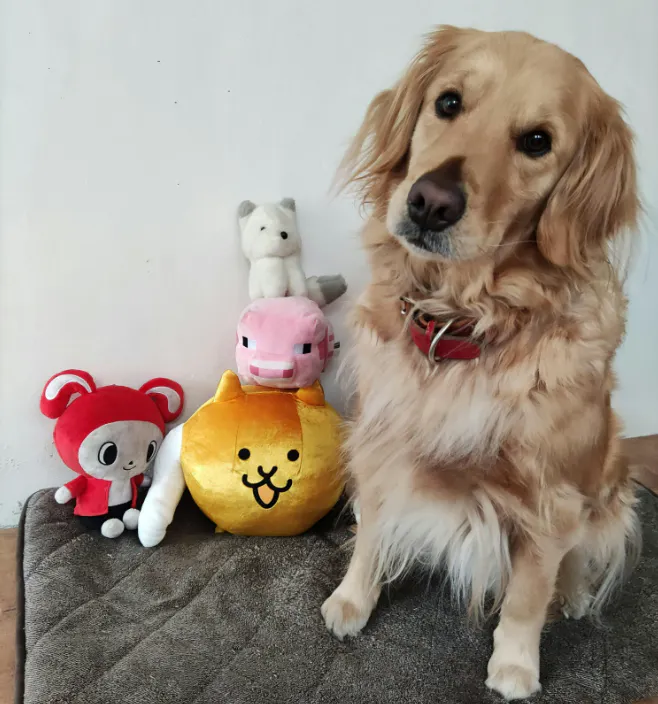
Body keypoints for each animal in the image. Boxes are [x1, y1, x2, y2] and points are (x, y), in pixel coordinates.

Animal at [321, 26, 640, 700]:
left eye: (537, 141)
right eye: (448, 103)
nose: (430, 202)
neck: (462, 326)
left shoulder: (551, 501)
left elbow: (527, 594)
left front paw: (515, 666)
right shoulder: (379, 443)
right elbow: (371, 532)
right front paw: (353, 600)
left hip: (612, 490)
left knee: (581, 558)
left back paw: (575, 596)